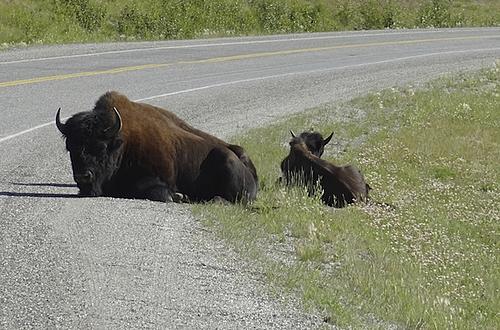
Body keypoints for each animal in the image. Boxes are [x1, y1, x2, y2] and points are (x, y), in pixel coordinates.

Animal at [55, 91, 258, 204]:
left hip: (225, 158)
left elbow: (154, 190)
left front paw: (177, 196)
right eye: (70, 147)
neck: (124, 143)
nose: (83, 176)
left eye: (101, 147)